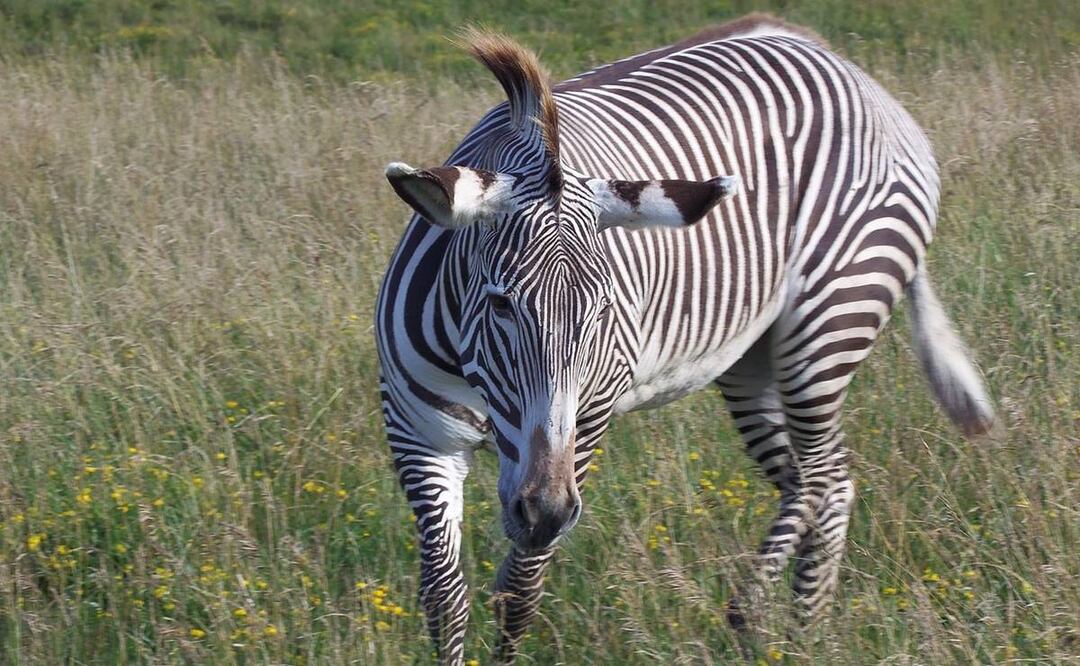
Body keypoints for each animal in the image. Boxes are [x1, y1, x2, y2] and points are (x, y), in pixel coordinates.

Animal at [376, 14, 993, 663]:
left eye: (604, 311)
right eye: (500, 303)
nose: (545, 512)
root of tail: (844, 66)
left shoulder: (587, 422)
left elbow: (519, 591)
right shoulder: (420, 436)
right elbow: (445, 598)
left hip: (829, 323)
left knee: (824, 474)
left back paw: (774, 618)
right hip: (751, 359)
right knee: (821, 480)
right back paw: (797, 628)